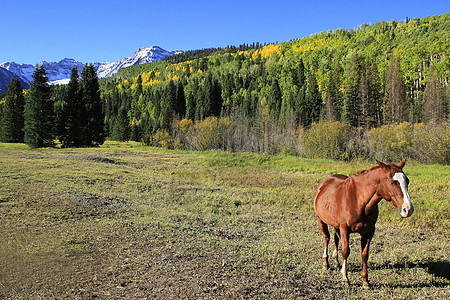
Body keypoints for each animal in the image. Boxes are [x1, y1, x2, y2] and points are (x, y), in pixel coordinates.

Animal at [312, 159, 414, 288]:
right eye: (393, 182)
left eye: (407, 181)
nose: (408, 209)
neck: (359, 199)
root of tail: (323, 183)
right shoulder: (344, 228)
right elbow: (346, 251)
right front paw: (345, 278)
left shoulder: (369, 231)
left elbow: (365, 255)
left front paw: (366, 281)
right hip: (321, 220)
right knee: (327, 237)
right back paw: (326, 262)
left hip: (336, 225)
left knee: (335, 238)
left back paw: (336, 262)